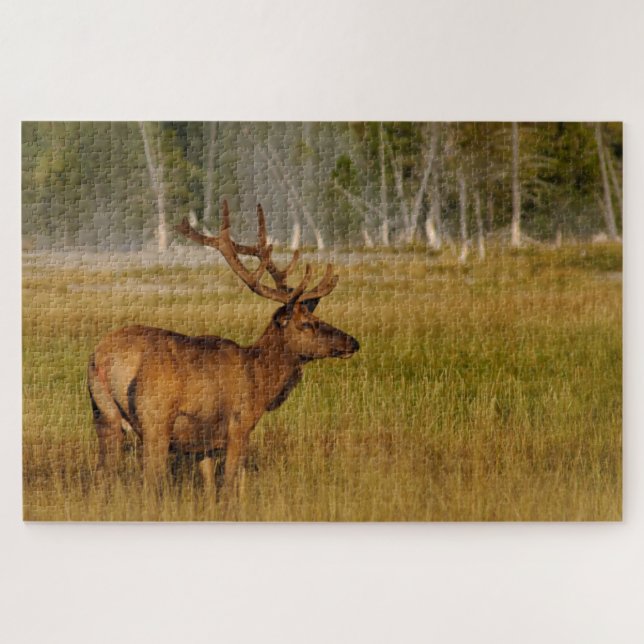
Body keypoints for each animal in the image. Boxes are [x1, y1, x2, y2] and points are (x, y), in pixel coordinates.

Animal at [87, 200, 359, 494]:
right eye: (307, 323)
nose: (352, 342)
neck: (260, 382)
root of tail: (103, 358)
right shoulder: (239, 425)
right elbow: (230, 483)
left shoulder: (204, 444)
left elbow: (209, 486)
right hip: (155, 419)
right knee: (150, 479)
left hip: (104, 415)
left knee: (101, 475)